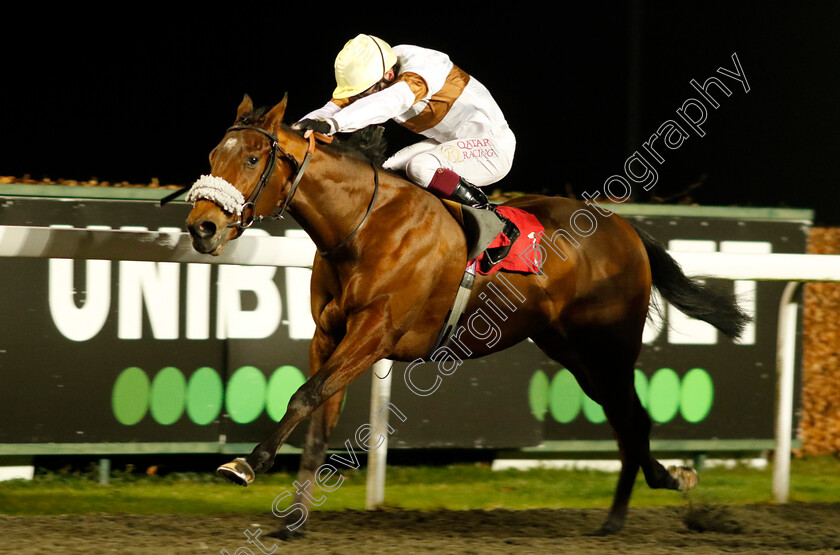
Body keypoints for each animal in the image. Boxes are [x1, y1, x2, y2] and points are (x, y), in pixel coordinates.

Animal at [184, 94, 748, 540]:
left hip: (610, 346)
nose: (202, 227)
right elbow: (319, 415)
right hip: (572, 351)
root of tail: (626, 230)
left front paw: (246, 463)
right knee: (623, 418)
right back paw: (646, 494)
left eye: (252, 157)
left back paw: (644, 499)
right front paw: (293, 521)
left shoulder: (374, 332)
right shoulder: (329, 335)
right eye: (212, 155)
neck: (363, 225)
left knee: (633, 417)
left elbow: (305, 396)